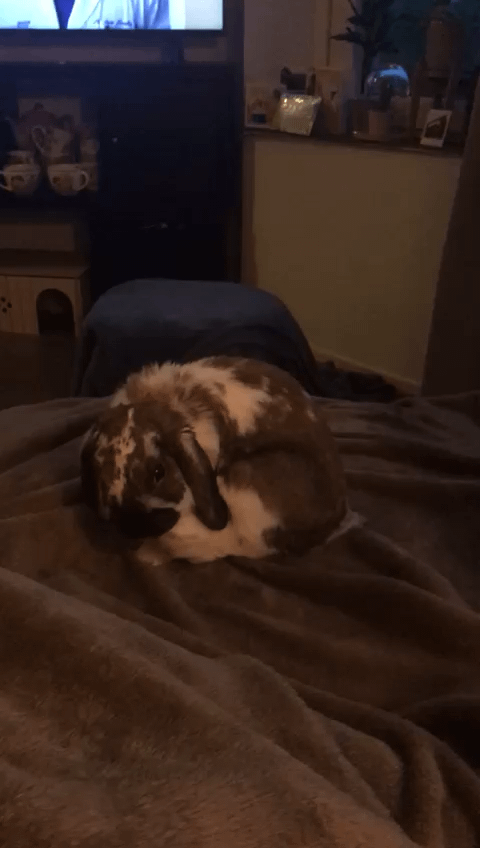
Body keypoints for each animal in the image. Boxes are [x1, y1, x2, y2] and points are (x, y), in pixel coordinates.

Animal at [81, 356, 353, 567]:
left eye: (159, 471)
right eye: (100, 476)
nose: (140, 525)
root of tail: (333, 521)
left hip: (244, 479)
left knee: (240, 544)